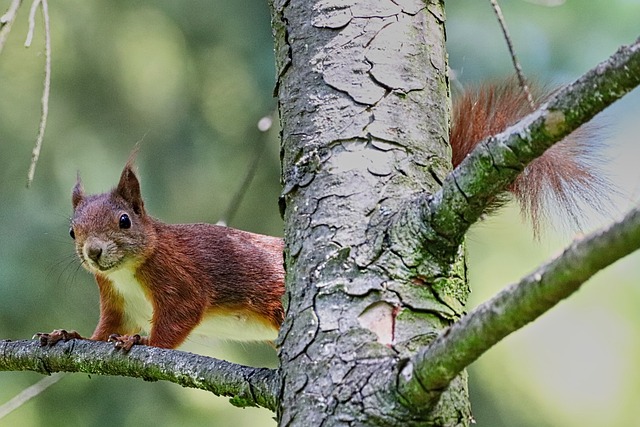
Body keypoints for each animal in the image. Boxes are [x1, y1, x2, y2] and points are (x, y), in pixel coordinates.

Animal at [37, 80, 608, 352]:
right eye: (72, 230)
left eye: (125, 223)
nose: (93, 253)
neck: (130, 272)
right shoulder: (115, 299)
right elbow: (103, 330)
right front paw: (69, 336)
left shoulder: (179, 278)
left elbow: (177, 319)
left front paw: (140, 342)